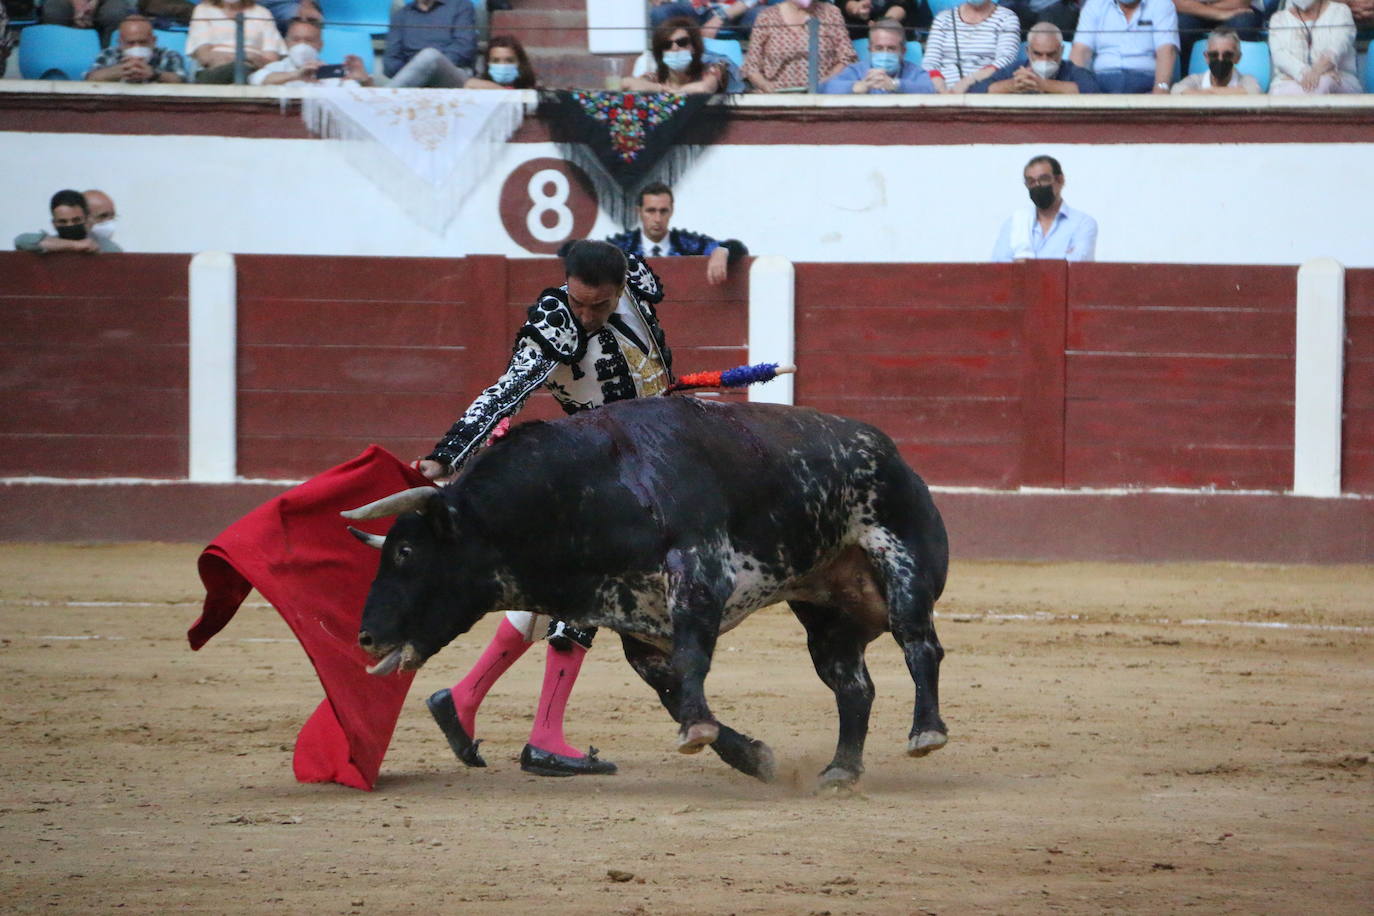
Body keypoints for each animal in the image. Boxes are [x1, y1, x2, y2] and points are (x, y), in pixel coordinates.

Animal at [346, 398, 945, 791]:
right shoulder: (636, 622)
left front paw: (701, 732)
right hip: (824, 613)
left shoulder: (698, 575)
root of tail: (894, 454)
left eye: (406, 553)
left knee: (920, 646)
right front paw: (751, 756)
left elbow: (692, 660)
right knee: (853, 685)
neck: (594, 487)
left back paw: (926, 734)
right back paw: (841, 770)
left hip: (902, 564)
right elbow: (674, 688)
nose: (366, 636)